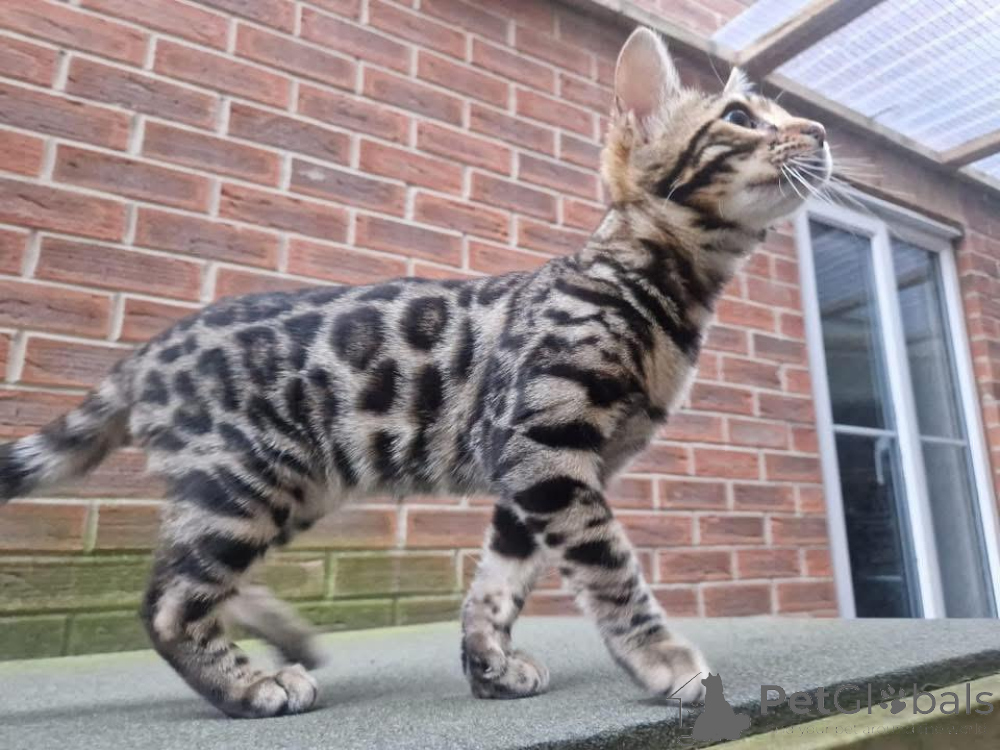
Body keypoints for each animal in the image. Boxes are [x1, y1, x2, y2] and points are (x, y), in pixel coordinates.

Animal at [0, 27, 830, 718]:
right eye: (741, 117)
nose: (818, 132)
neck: (649, 286)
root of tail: (148, 351)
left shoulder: (536, 476)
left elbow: (498, 584)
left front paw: (487, 665)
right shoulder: (543, 445)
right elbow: (609, 568)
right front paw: (663, 661)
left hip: (292, 484)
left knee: (201, 576)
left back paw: (286, 640)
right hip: (248, 477)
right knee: (168, 601)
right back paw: (249, 685)